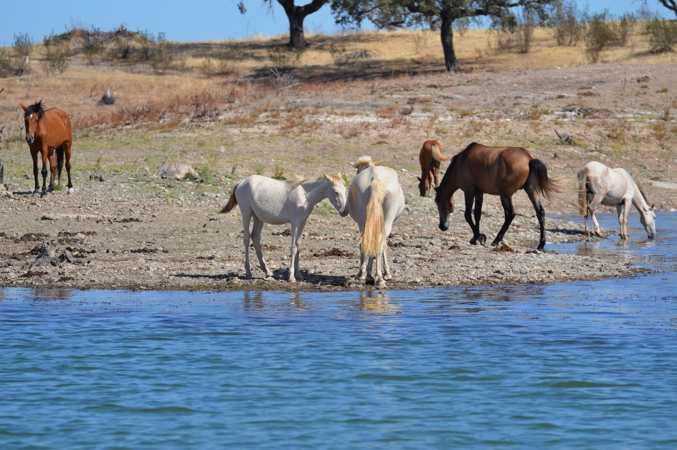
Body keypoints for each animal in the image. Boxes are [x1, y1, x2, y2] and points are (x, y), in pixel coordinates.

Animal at [340, 156, 404, 286]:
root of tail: (375, 178)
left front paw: (368, 275)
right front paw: (385, 274)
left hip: (363, 221)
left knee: (367, 242)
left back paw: (366, 276)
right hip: (385, 220)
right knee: (378, 243)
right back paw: (377, 277)